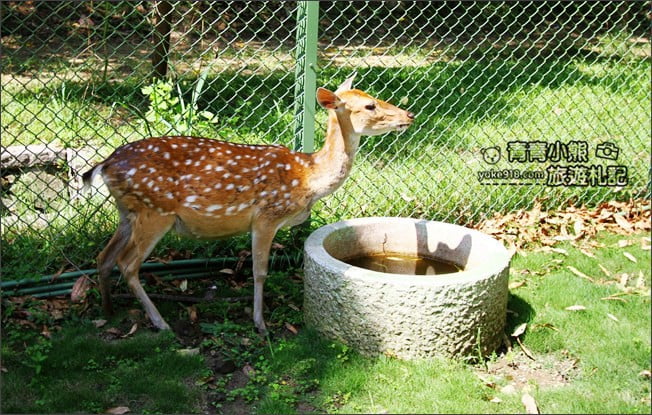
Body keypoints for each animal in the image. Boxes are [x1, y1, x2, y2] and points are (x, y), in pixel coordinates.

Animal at [82, 74, 414, 333]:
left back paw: (108, 311)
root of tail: (105, 164)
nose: (409, 115)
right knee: (127, 264)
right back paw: (160, 322)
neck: (308, 176)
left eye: (373, 97)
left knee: (103, 257)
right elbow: (260, 271)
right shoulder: (267, 216)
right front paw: (260, 323)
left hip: (128, 212)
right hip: (154, 211)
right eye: (370, 106)